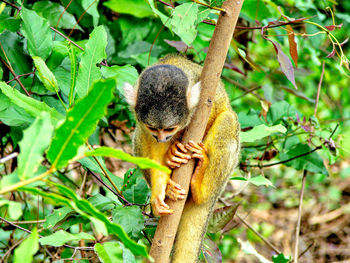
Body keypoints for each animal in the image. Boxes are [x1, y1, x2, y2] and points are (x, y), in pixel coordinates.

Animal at [123, 54, 241, 262]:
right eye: (154, 128)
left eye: (170, 128)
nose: (163, 138)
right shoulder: (144, 124)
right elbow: (149, 142)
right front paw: (159, 190)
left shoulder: (206, 101)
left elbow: (213, 112)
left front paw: (174, 147)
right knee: (138, 136)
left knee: (228, 119)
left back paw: (201, 186)